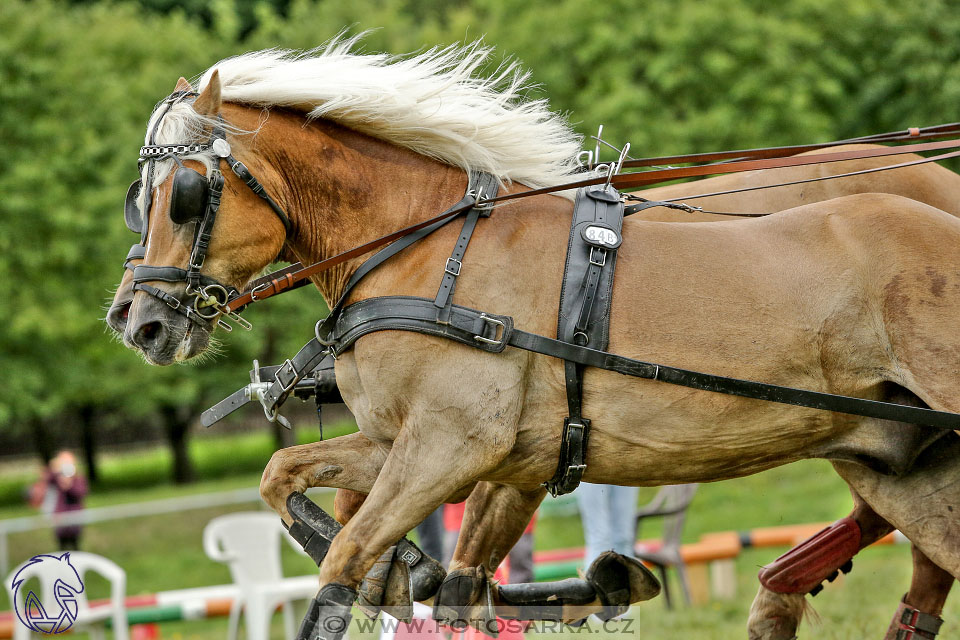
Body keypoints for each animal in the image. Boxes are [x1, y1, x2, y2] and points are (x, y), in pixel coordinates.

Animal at [109, 42, 960, 636]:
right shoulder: (411, 442)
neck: (425, 248)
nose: (138, 321)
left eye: (185, 193)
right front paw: (406, 570)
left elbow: (354, 560)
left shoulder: (456, 445)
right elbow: (284, 476)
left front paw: (399, 571)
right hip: (904, 465)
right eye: (135, 199)